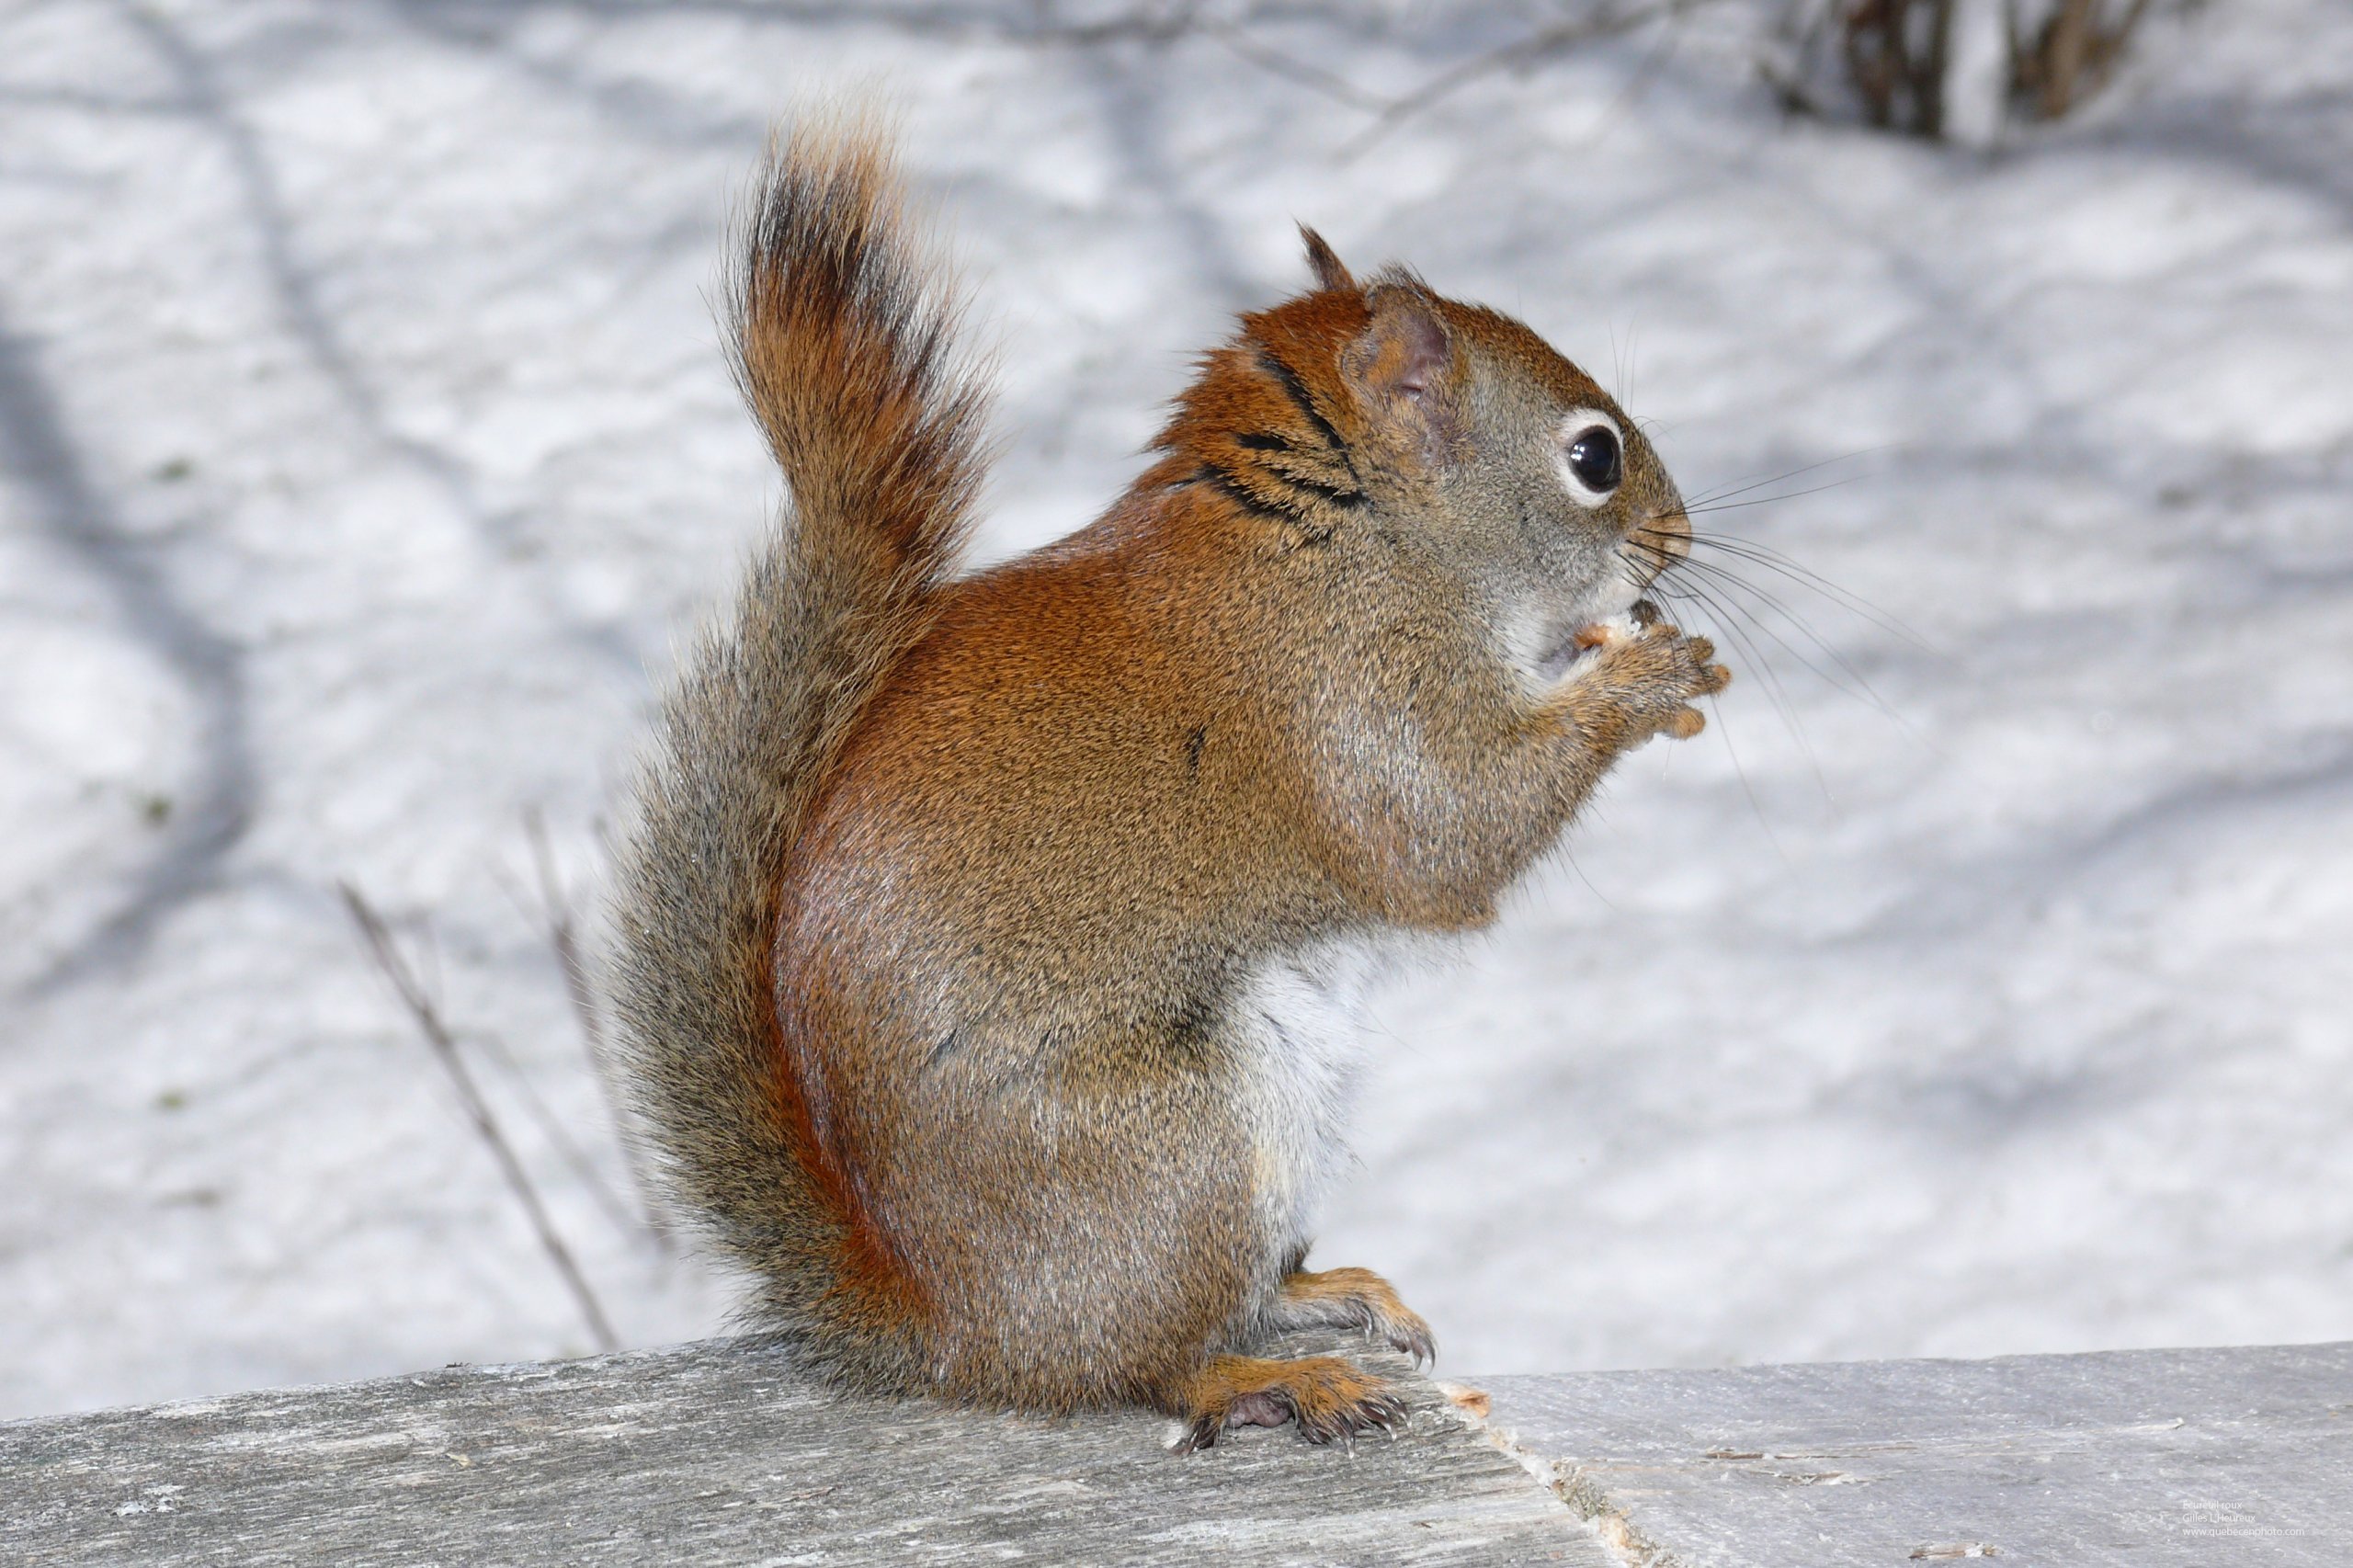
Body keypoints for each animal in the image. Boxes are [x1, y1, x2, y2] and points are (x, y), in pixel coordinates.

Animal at [611, 112, 1732, 1449]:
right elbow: (1444, 833)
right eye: (1593, 456)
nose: (1679, 535)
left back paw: (1323, 1295)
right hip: (1181, 1148)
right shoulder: (1347, 699)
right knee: (1142, 1364)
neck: (1351, 535)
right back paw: (1266, 1377)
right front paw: (1648, 677)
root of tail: (953, 1326)